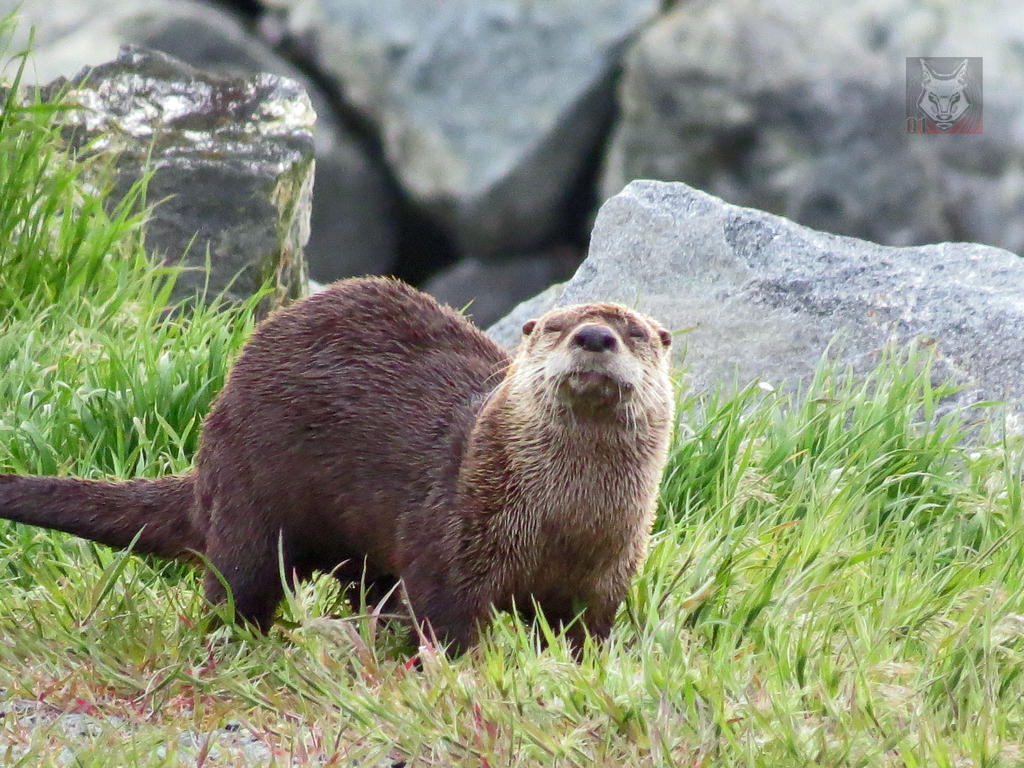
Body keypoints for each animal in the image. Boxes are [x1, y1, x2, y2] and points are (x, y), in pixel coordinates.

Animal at [0, 280, 675, 651]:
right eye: (555, 327)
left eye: (637, 333)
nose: (594, 336)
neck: (563, 525)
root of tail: (208, 458)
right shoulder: (449, 537)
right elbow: (447, 619)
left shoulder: (609, 577)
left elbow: (587, 634)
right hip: (251, 501)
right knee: (235, 583)